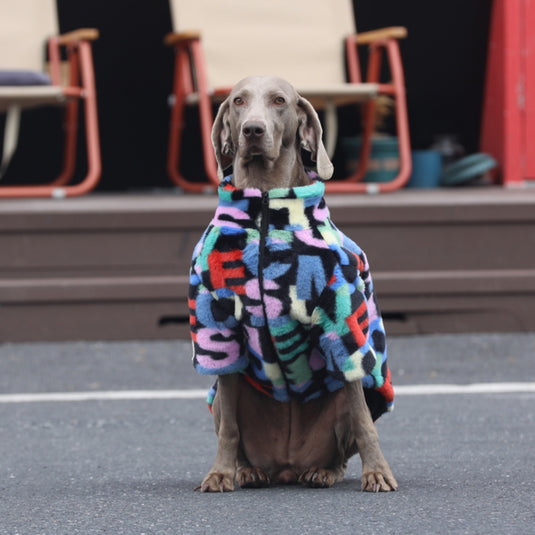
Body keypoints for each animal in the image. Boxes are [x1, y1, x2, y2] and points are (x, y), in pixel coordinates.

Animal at [191, 75, 396, 494]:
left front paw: (378, 472)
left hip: (357, 397)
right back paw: (248, 471)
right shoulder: (217, 329)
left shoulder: (343, 327)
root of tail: (286, 466)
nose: (253, 130)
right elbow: (229, 430)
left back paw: (323, 471)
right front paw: (220, 473)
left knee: (344, 443)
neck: (266, 202)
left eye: (279, 101)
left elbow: (363, 422)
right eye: (238, 101)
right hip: (221, 397)